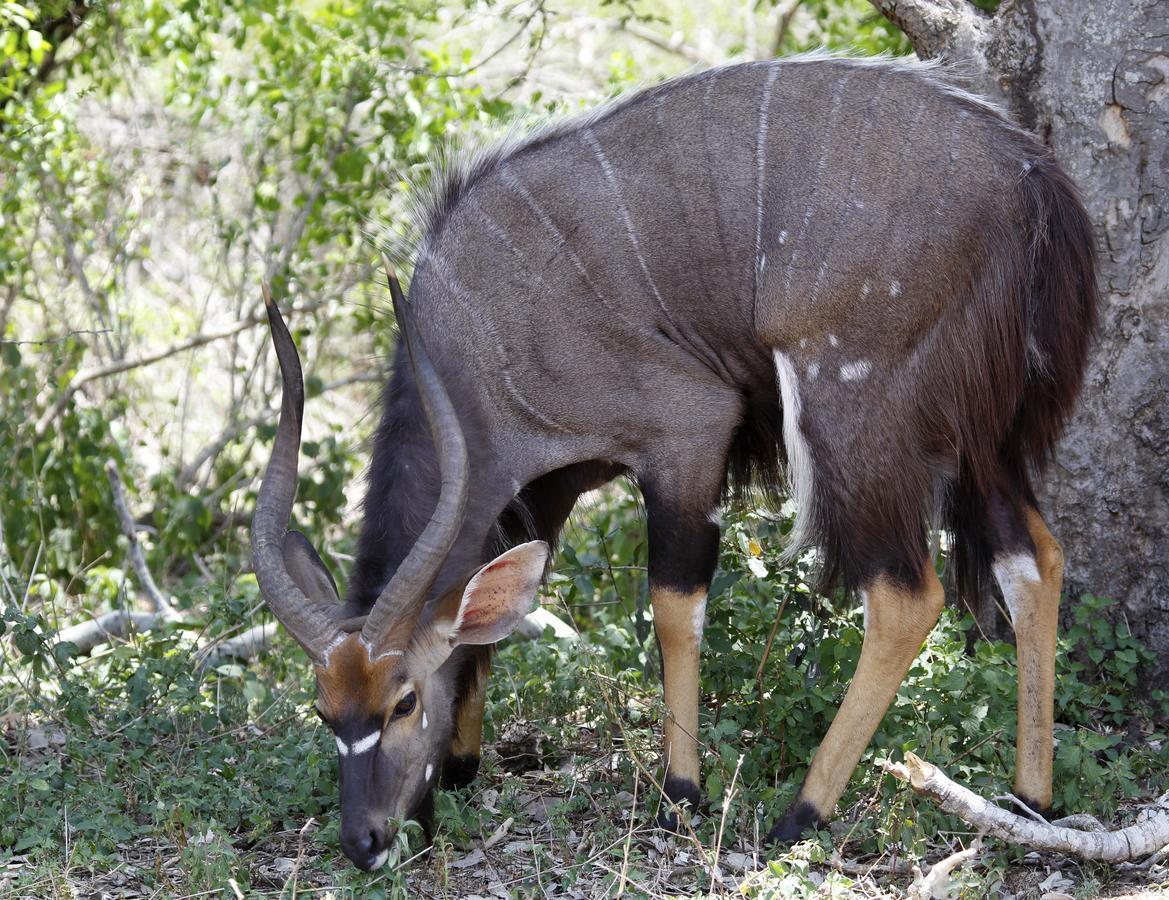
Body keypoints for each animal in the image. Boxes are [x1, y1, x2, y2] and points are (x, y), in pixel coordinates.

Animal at [248, 56, 1094, 869]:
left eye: (402, 701)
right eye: (323, 710)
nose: (363, 842)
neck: (468, 344)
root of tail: (1031, 179)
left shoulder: (686, 430)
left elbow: (672, 603)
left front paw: (680, 792)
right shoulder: (547, 485)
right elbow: (494, 614)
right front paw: (461, 765)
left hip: (855, 414)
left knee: (906, 594)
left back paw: (802, 812)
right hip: (982, 443)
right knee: (1035, 559)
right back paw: (1030, 803)